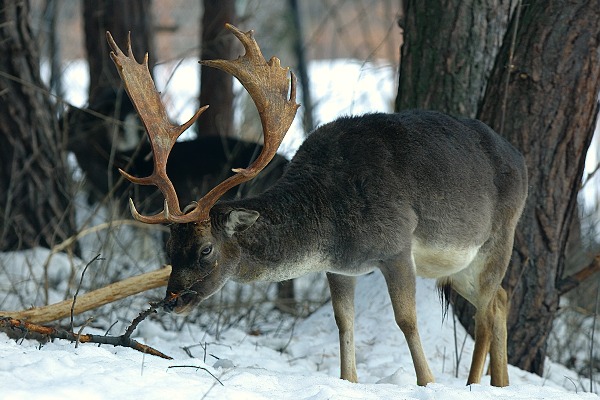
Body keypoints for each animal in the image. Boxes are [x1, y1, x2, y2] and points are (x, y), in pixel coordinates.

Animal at [106, 23, 524, 386]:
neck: (330, 221)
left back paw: (480, 383)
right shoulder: (339, 268)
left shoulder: (396, 246)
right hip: (455, 267)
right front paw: (349, 379)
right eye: (170, 246)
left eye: (206, 249)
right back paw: (494, 382)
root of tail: (520, 158)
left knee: (488, 308)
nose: (170, 301)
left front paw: (428, 382)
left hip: (500, 235)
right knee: (500, 301)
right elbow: (344, 322)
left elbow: (406, 320)